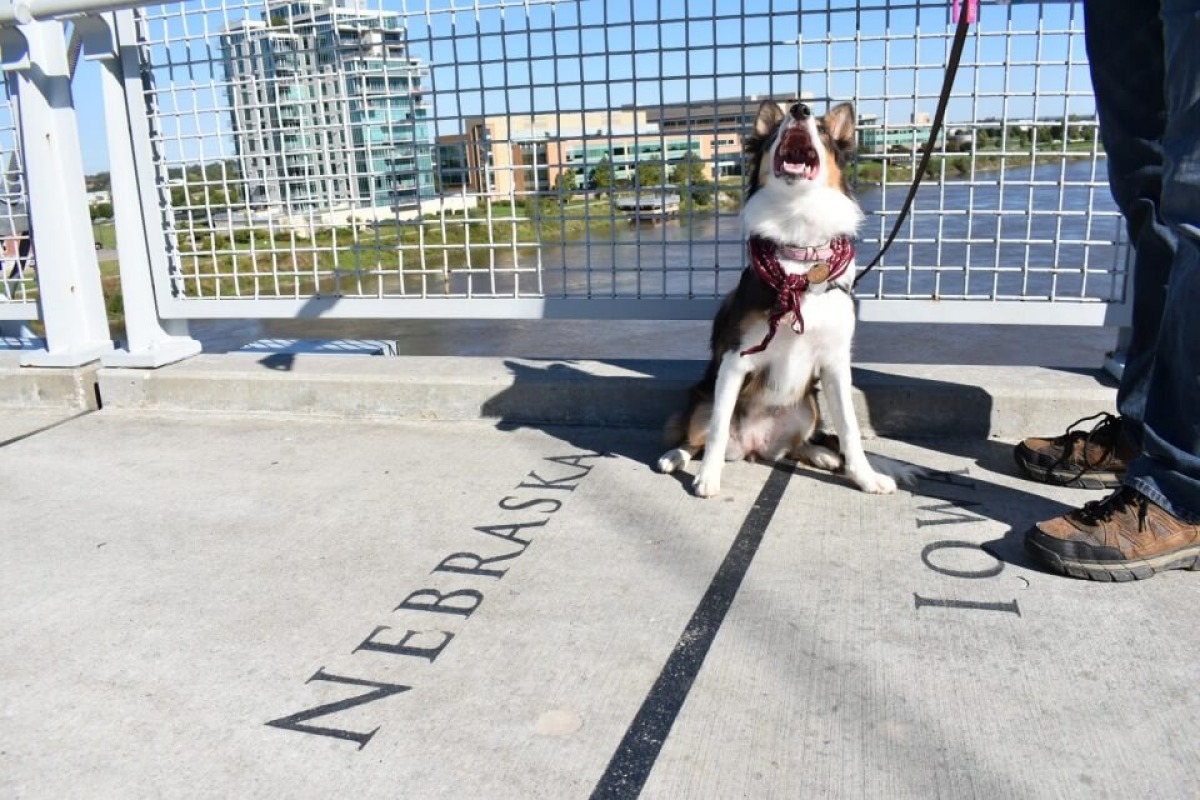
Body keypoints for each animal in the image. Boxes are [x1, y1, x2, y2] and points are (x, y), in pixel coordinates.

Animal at [657, 98, 902, 501]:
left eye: (822, 129)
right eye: (776, 131)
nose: (800, 109)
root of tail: (754, 447)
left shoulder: (835, 362)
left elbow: (849, 428)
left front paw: (865, 477)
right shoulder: (735, 359)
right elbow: (718, 427)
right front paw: (707, 478)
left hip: (808, 407)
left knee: (794, 446)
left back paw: (820, 454)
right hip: (702, 401)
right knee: (698, 437)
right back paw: (674, 456)